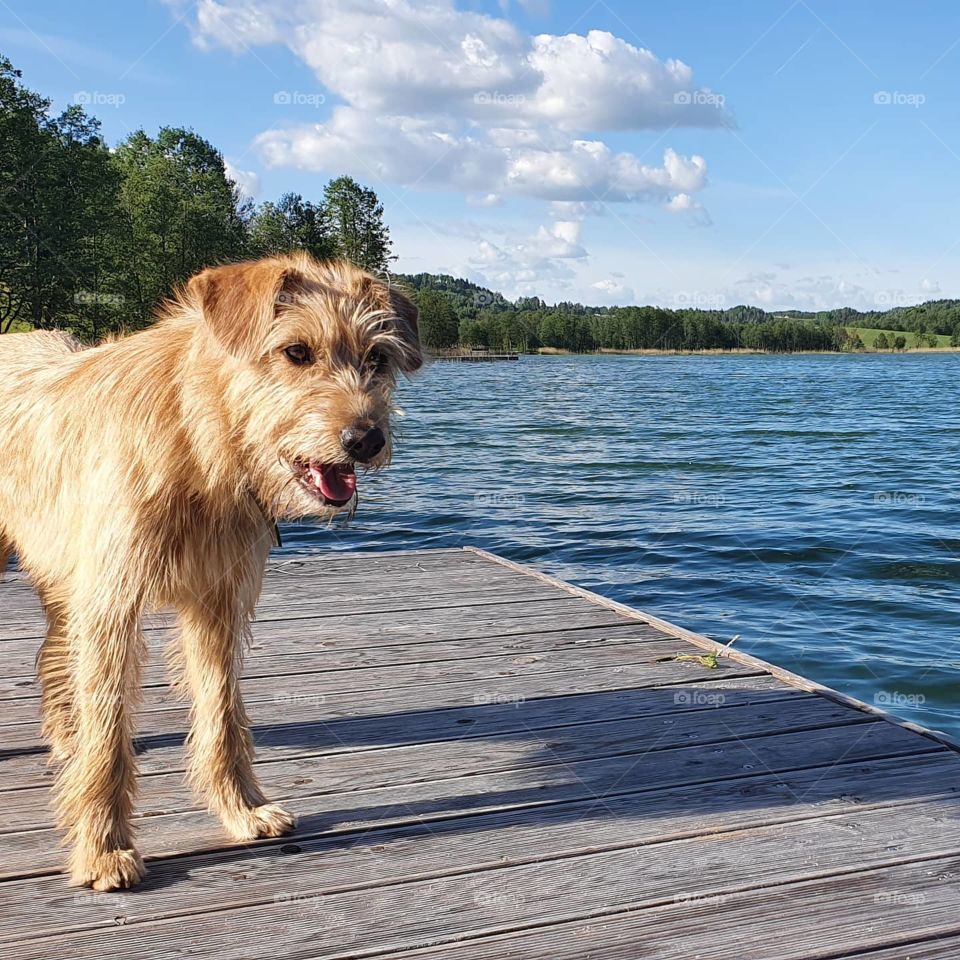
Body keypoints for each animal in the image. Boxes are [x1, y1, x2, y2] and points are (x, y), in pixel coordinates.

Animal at [0, 255, 420, 892]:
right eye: (296, 351)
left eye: (377, 358)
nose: (366, 439)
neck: (199, 442)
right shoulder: (110, 604)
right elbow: (109, 732)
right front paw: (103, 846)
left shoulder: (216, 602)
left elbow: (220, 713)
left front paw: (243, 810)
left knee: (54, 651)